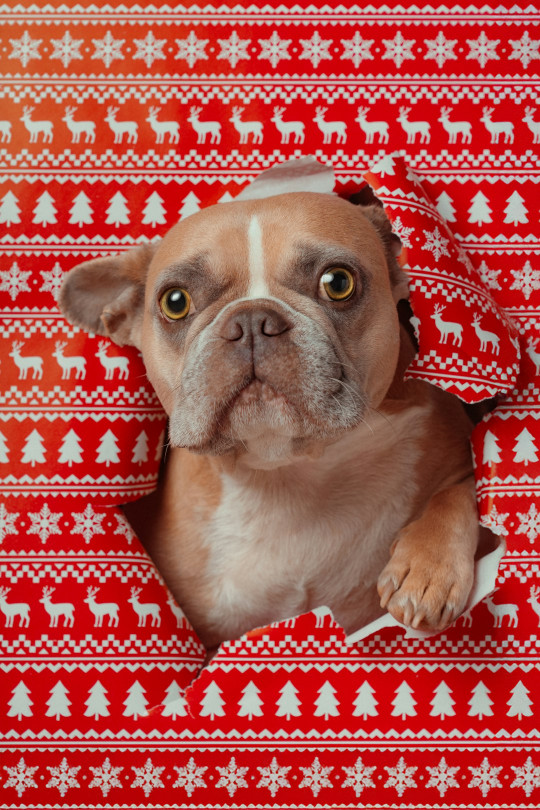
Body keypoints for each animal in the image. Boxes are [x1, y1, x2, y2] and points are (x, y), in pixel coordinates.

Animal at [58, 189, 480, 652]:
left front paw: (428, 567)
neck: (286, 473)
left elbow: (461, 491)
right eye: (175, 301)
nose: (250, 321)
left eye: (338, 282)